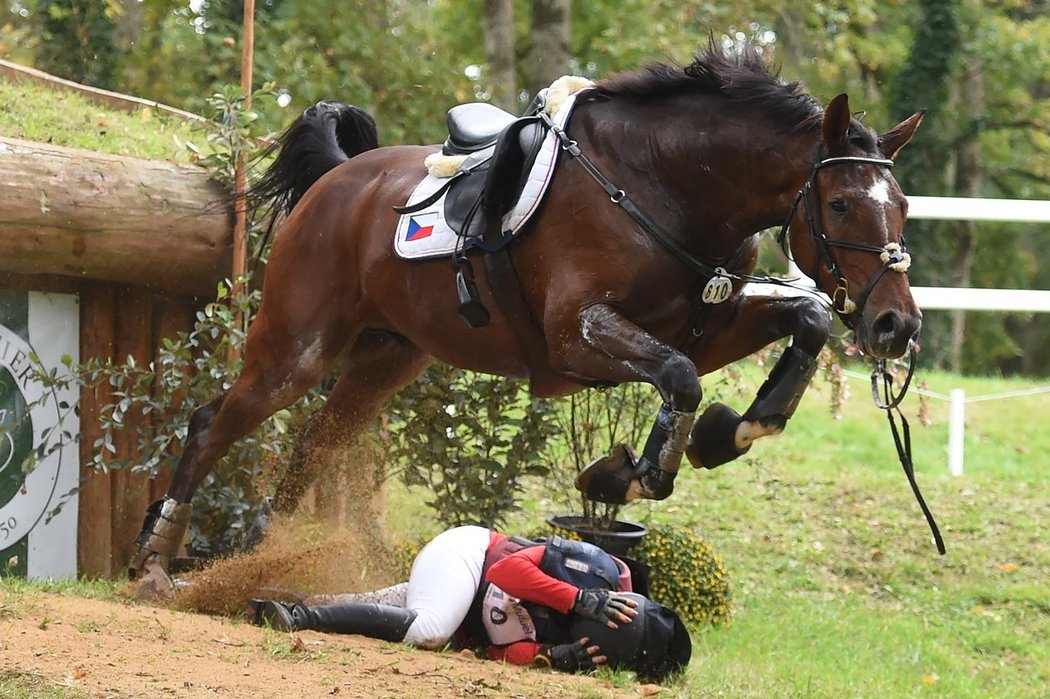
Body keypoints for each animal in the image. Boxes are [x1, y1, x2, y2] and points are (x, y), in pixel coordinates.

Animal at [127, 42, 923, 591]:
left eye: (905, 205)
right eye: (841, 204)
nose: (898, 326)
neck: (665, 186)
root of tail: (338, 179)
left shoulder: (706, 324)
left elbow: (806, 316)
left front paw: (735, 431)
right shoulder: (577, 336)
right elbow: (680, 378)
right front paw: (626, 476)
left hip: (388, 357)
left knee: (317, 440)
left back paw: (266, 554)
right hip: (297, 345)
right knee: (213, 423)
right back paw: (157, 559)